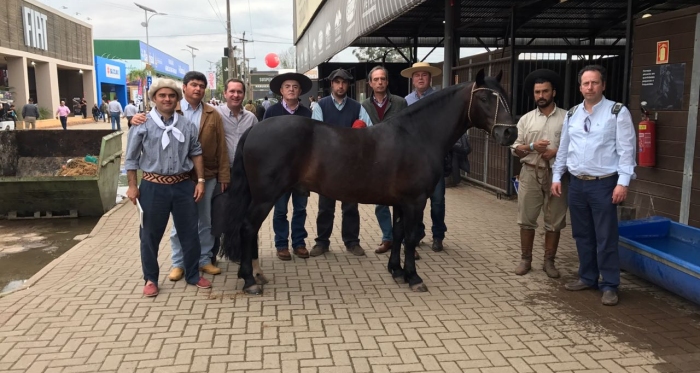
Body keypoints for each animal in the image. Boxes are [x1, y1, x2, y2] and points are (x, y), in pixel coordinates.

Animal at [221, 69, 516, 294]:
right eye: (485, 98)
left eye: (504, 95)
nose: (509, 133)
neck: (417, 135)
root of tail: (255, 128)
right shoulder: (415, 201)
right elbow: (410, 237)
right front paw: (414, 277)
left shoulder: (402, 202)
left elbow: (397, 234)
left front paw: (396, 271)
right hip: (265, 197)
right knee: (248, 228)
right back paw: (250, 280)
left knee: (251, 230)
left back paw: (256, 274)